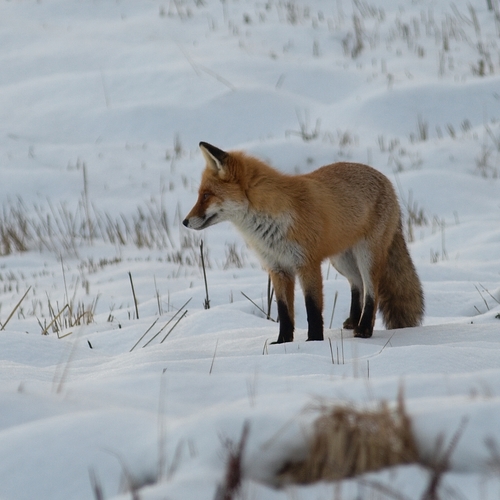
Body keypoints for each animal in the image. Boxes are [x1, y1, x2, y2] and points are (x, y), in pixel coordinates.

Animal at [182, 143, 424, 342]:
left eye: (206, 195)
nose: (184, 222)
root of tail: (386, 179)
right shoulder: (277, 268)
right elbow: (284, 311)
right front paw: (282, 342)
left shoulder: (307, 263)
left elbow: (312, 308)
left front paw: (314, 341)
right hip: (342, 261)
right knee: (358, 285)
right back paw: (353, 322)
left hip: (367, 257)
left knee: (372, 291)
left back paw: (364, 329)